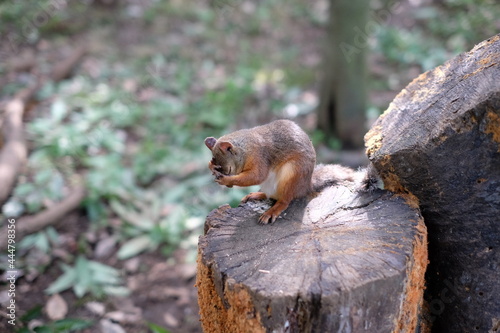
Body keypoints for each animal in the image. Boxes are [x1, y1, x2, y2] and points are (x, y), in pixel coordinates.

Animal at [205, 118, 380, 224]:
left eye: (228, 169)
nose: (227, 186)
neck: (245, 148)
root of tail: (306, 186)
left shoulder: (260, 156)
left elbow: (257, 175)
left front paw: (227, 180)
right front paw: (210, 165)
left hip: (292, 174)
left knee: (284, 200)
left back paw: (272, 211)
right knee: (271, 195)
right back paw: (256, 195)